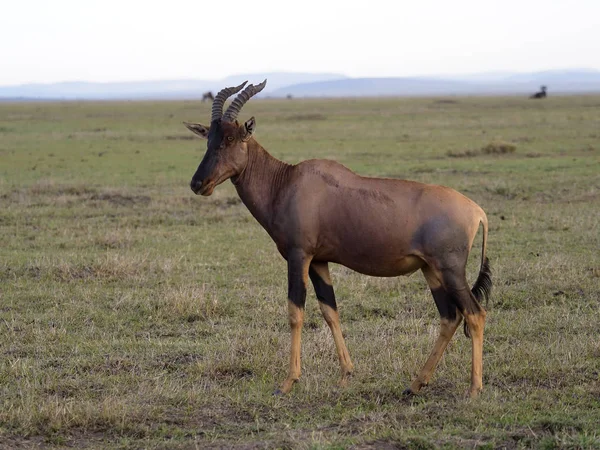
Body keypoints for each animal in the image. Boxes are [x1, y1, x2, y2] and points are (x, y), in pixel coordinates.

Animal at [183, 81, 492, 398]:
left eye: (231, 138)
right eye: (209, 138)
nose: (198, 183)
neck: (287, 182)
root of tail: (477, 211)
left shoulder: (299, 255)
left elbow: (296, 312)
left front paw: (288, 382)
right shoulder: (319, 261)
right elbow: (330, 311)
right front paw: (346, 375)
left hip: (450, 270)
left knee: (475, 314)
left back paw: (474, 388)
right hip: (430, 270)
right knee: (450, 317)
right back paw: (416, 384)